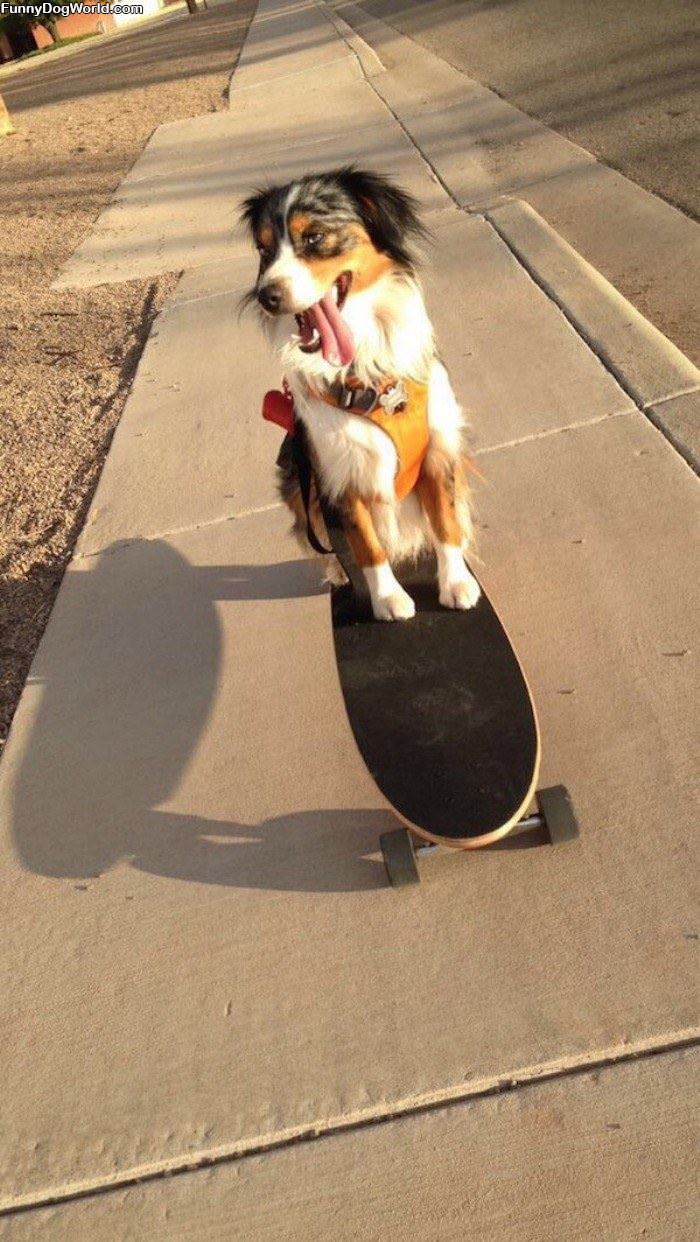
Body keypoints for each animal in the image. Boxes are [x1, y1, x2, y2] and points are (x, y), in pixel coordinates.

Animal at [242, 165, 481, 621]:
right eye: (263, 251)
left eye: (314, 237)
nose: (267, 296)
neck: (366, 376)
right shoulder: (337, 474)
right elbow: (366, 545)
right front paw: (387, 598)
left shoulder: (439, 449)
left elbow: (446, 521)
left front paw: (456, 582)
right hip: (294, 478)